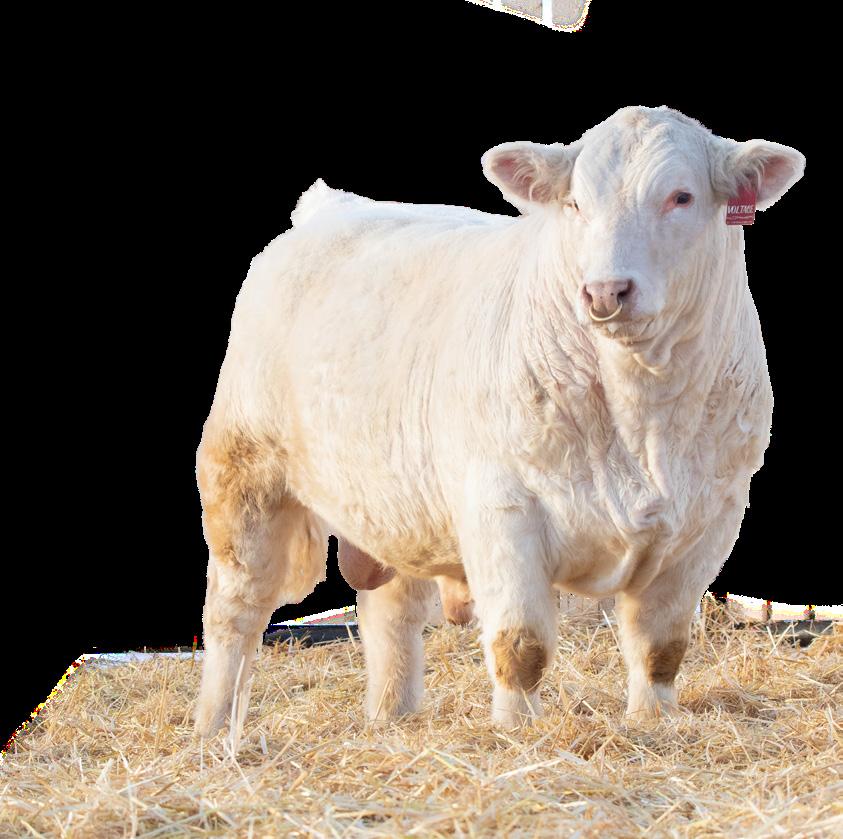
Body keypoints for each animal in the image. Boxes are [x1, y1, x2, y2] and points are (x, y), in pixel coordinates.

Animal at [193, 106, 804, 748]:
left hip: (397, 503)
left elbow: (660, 647)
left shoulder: (708, 522)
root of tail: (332, 206)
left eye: (681, 196)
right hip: (245, 475)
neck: (643, 417)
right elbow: (521, 644)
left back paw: (392, 715)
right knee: (236, 611)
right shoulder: (502, 509)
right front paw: (516, 732)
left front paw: (653, 722)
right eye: (575, 203)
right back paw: (215, 728)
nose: (605, 290)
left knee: (393, 609)